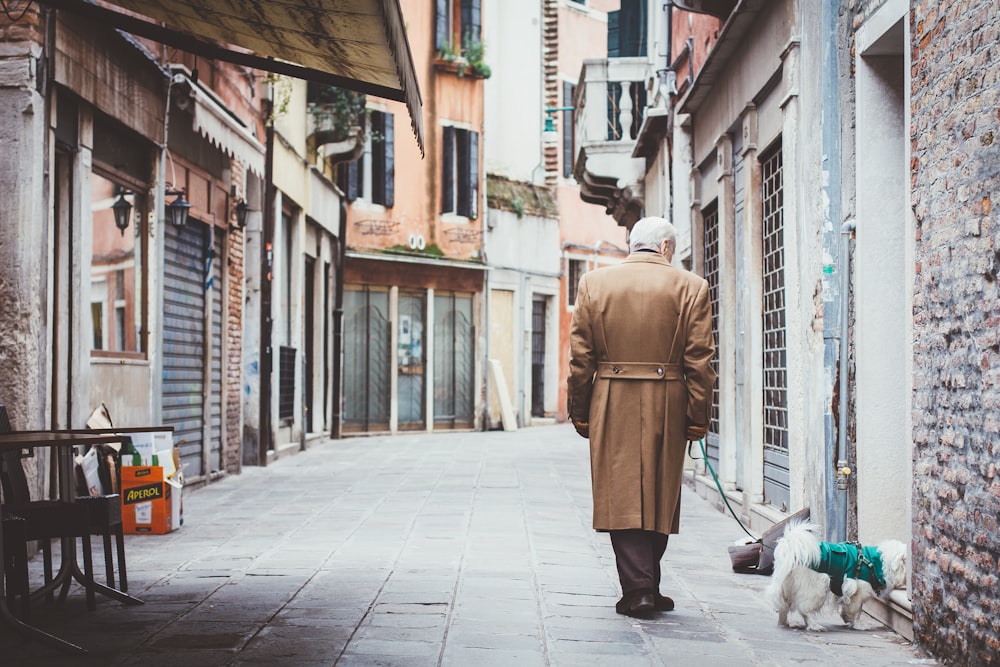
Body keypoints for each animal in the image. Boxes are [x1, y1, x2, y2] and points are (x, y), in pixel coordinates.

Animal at [764, 520, 908, 632]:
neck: (876, 562)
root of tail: (791, 551)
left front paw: (847, 618)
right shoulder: (857, 592)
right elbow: (857, 610)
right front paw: (857, 624)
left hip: (786, 588)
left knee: (783, 607)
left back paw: (785, 623)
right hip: (817, 588)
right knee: (804, 609)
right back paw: (814, 625)